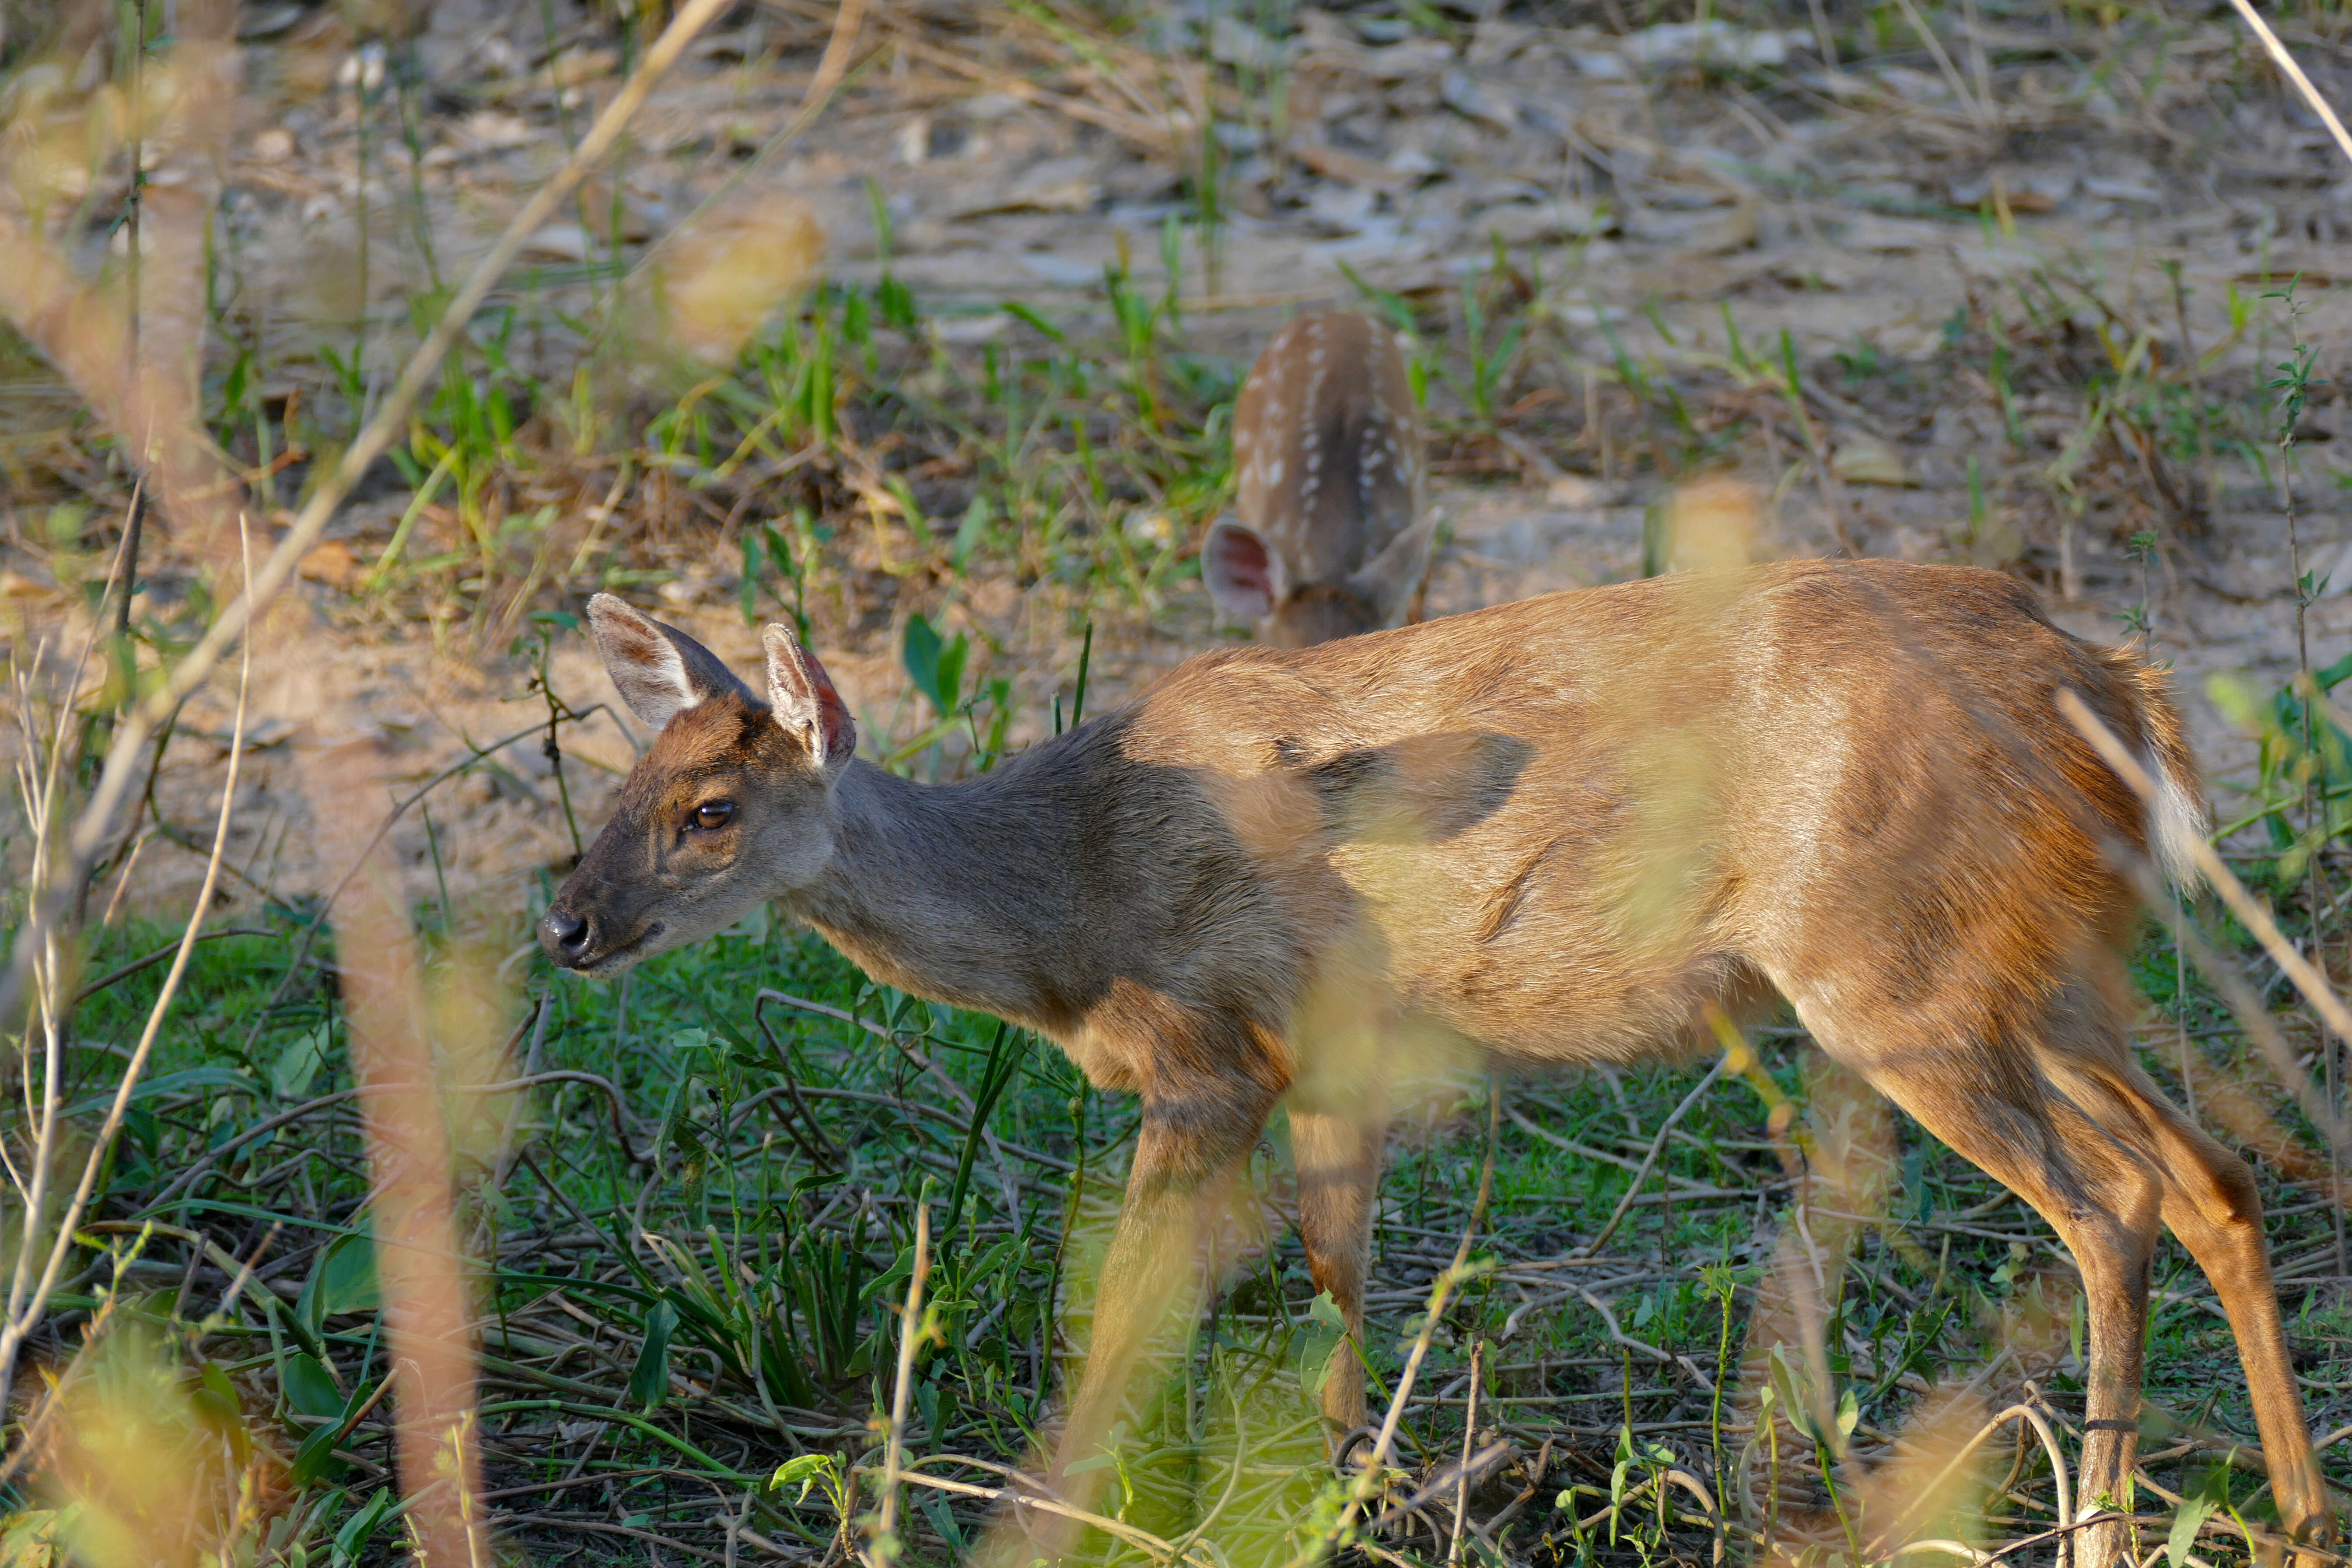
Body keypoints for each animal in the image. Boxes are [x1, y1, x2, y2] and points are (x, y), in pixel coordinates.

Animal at [541, 566, 2324, 1568]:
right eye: (617, 781)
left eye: (711, 809)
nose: (565, 919)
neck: (1072, 904)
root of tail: (2121, 691)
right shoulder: (1333, 1064)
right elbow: (1340, 1279)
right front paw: (1358, 1499)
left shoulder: (1214, 1053)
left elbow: (1121, 1309)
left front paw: (1059, 1519)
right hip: (2042, 973)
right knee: (2210, 1174)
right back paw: (2295, 1518)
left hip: (1897, 984)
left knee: (2105, 1208)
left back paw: (2098, 1529)